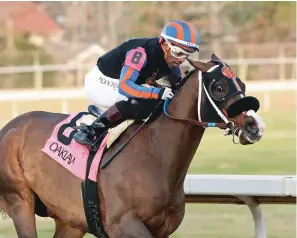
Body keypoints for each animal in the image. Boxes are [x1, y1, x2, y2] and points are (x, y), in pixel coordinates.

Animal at [0, 54, 264, 238]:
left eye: (242, 84)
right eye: (219, 87)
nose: (255, 126)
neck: (153, 156)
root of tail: (9, 127)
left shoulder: (162, 229)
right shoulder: (123, 224)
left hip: (69, 220)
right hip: (20, 201)